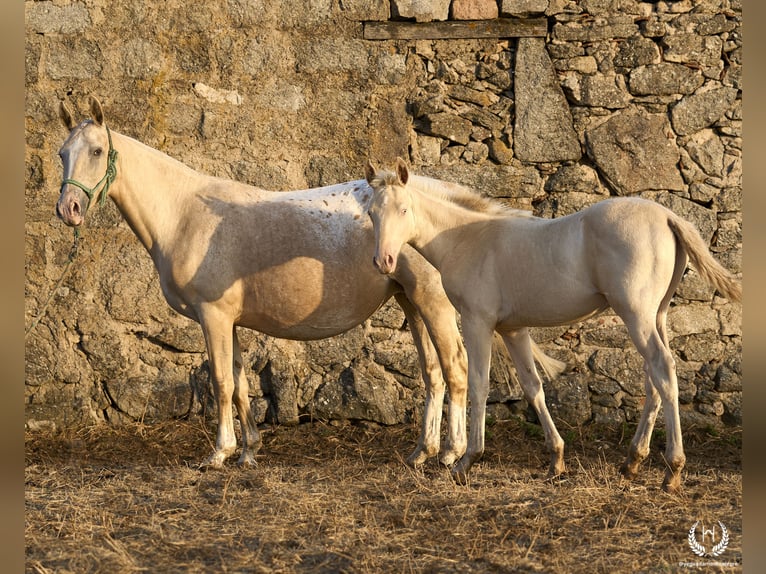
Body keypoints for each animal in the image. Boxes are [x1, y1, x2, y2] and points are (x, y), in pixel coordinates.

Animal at [54, 97, 476, 470]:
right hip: (410, 301)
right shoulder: (229, 321)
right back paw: (422, 452)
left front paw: (219, 453)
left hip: (433, 301)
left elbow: (222, 382)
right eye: (62, 154)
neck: (184, 215)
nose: (68, 209)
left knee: (456, 368)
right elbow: (241, 385)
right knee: (433, 374)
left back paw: (452, 454)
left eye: (96, 151)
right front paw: (248, 452)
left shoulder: (213, 316)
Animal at [368, 159, 748, 496]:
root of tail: (669, 216)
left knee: (663, 369)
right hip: (657, 315)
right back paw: (633, 461)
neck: (468, 239)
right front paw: (556, 459)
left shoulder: (478, 321)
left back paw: (672, 471)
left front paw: (466, 461)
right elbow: (532, 386)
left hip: (636, 314)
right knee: (653, 377)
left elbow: (478, 384)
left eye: (404, 210)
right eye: (371, 213)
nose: (383, 262)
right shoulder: (513, 330)